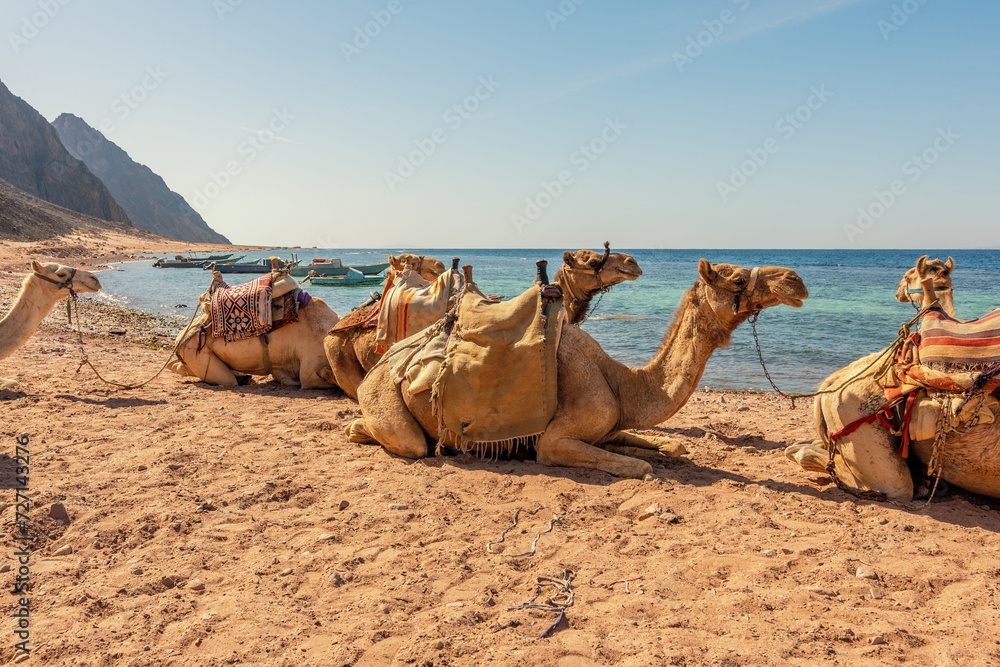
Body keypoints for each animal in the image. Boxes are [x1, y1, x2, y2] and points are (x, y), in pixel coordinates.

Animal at [346, 260, 808, 478]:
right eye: (735, 280)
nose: (795, 280)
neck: (622, 382)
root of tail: (386, 358)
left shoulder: (609, 425)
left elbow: (664, 447)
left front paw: (655, 448)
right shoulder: (555, 441)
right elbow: (638, 467)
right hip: (382, 395)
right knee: (408, 442)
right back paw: (359, 429)